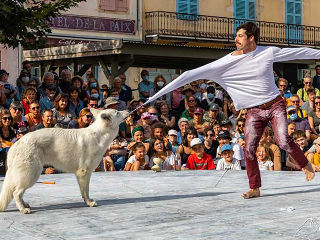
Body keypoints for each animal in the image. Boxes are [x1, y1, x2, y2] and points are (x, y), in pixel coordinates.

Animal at [0, 109, 129, 214]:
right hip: (32, 174)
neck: (99, 135)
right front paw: (89, 202)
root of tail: (15, 145)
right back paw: (23, 209)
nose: (128, 110)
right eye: (117, 112)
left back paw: (25, 205)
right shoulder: (84, 173)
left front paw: (87, 201)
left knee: (18, 191)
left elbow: (84, 191)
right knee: (16, 192)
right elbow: (86, 191)